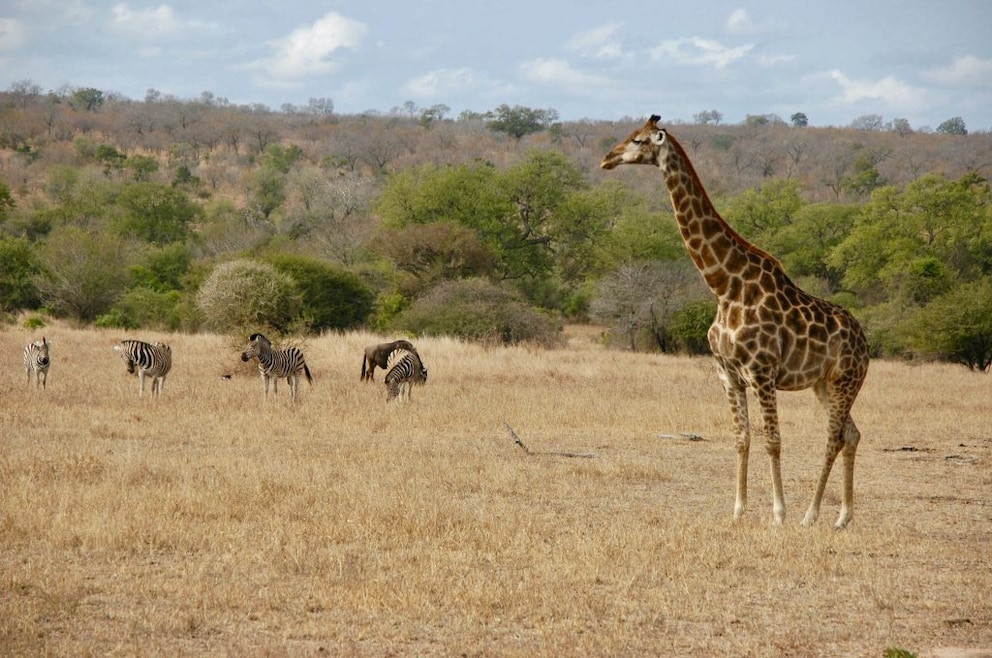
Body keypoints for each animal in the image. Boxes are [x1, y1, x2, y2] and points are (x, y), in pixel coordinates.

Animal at [601, 115, 869, 528]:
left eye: (638, 141)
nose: (607, 159)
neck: (724, 287)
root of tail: (866, 342)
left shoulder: (761, 372)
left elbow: (772, 440)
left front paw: (778, 514)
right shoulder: (727, 374)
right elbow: (741, 438)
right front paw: (738, 510)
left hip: (844, 381)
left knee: (834, 437)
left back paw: (810, 515)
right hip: (825, 385)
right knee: (851, 434)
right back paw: (842, 517)